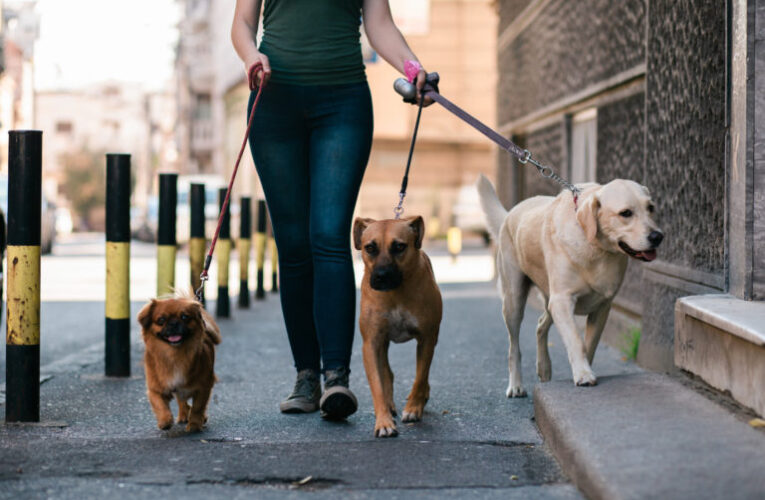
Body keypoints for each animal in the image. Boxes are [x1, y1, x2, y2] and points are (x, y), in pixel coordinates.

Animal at [137, 294, 219, 432]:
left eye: (185, 317)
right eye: (161, 320)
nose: (174, 323)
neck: (174, 355)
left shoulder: (203, 387)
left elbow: (197, 408)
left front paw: (194, 425)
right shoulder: (155, 388)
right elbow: (160, 405)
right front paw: (165, 421)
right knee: (181, 401)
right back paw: (183, 415)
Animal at [352, 215, 442, 438]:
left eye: (400, 246)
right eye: (370, 248)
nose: (382, 275)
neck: (396, 292)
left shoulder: (427, 338)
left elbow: (420, 377)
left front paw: (413, 408)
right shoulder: (372, 343)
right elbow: (377, 385)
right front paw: (383, 421)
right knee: (387, 373)